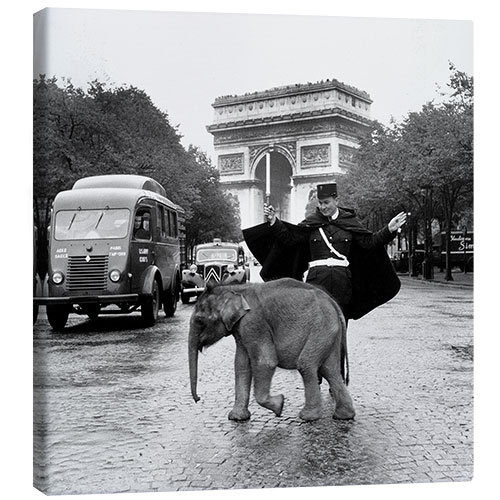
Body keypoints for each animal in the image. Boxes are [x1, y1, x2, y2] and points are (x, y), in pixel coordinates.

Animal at [188, 278, 356, 422]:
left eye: (200, 321)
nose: (198, 399)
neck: (235, 289)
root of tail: (333, 303)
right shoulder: (241, 329)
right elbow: (241, 364)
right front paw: (237, 418)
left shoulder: (254, 323)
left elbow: (265, 362)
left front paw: (279, 405)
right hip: (329, 333)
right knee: (329, 370)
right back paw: (344, 416)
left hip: (321, 328)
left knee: (307, 365)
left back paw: (308, 417)